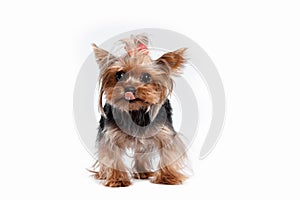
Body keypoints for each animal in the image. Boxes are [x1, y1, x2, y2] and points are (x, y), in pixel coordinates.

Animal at [90, 33, 188, 187]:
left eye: (146, 76)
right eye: (119, 75)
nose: (129, 89)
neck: (136, 111)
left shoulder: (165, 133)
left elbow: (168, 153)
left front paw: (167, 177)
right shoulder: (110, 135)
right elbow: (111, 155)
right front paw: (117, 179)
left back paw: (143, 172)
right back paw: (103, 174)